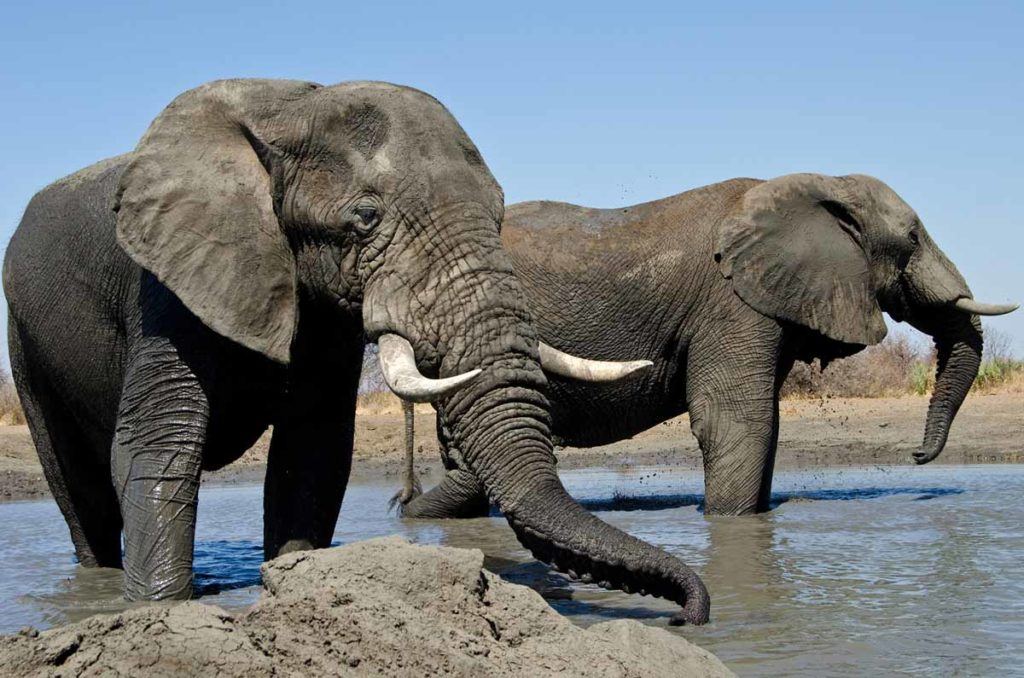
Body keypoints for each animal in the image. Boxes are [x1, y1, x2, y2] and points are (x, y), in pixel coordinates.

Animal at [6, 80, 712, 626]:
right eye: (366, 218)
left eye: (500, 213)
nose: (690, 612)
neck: (290, 109)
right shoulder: (167, 284)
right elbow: (159, 449)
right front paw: (163, 610)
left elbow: (312, 454)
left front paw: (294, 583)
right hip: (22, 336)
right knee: (80, 493)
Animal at [399, 175, 1015, 520]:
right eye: (911, 239)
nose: (916, 456)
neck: (819, 185)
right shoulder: (732, 303)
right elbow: (736, 420)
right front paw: (727, 521)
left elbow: (765, 422)